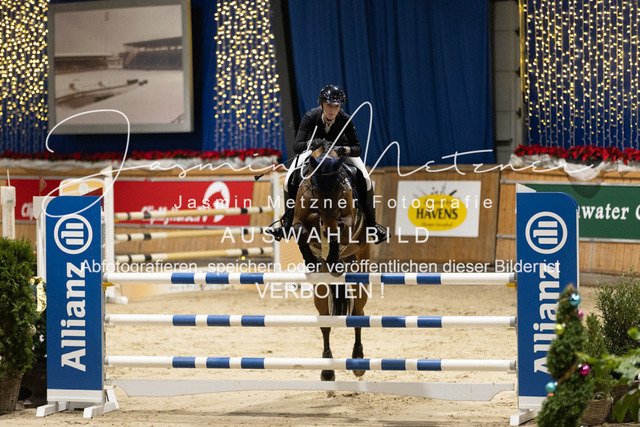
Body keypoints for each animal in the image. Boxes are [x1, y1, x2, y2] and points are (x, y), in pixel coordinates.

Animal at [291, 138, 371, 382]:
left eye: (338, 186)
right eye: (316, 186)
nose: (327, 217)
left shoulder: (347, 221)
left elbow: (339, 227)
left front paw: (333, 256)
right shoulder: (301, 218)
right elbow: (300, 229)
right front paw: (311, 259)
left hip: (360, 273)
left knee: (358, 315)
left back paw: (358, 360)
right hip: (321, 290)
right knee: (325, 322)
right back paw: (327, 369)